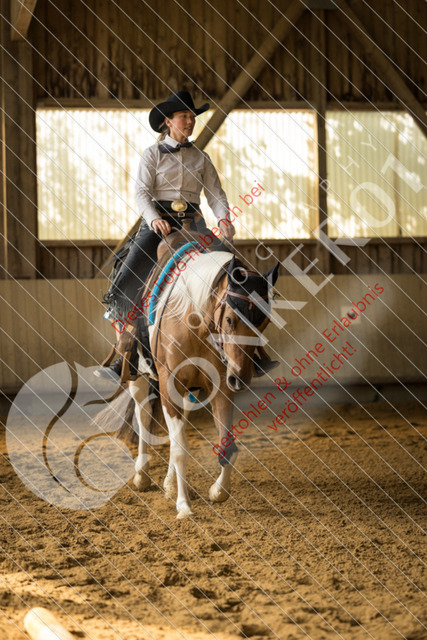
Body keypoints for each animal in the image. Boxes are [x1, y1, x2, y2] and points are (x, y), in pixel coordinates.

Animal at [126, 244, 279, 519]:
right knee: (143, 416)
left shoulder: (220, 386)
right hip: (139, 376)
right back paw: (142, 476)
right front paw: (184, 506)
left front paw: (218, 492)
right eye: (229, 319)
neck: (193, 320)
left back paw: (169, 483)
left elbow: (227, 447)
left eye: (264, 323)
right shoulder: (169, 384)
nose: (240, 378)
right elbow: (179, 449)